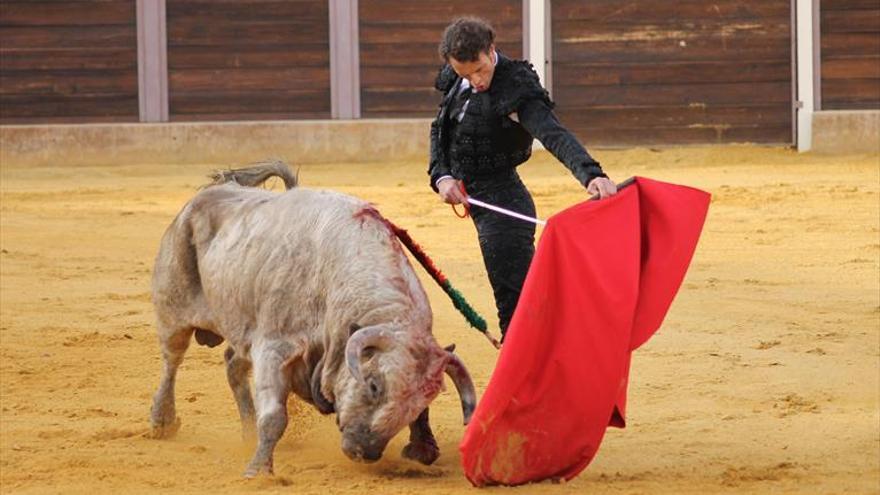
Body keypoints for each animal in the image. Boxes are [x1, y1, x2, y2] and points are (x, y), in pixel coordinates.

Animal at [152, 162, 482, 476]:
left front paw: (422, 447)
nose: (365, 451)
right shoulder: (273, 347)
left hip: (242, 324)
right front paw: (258, 471)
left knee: (233, 365)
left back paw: (247, 432)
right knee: (172, 360)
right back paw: (161, 421)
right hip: (173, 311)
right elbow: (274, 417)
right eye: (374, 385)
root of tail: (216, 190)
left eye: (419, 403)